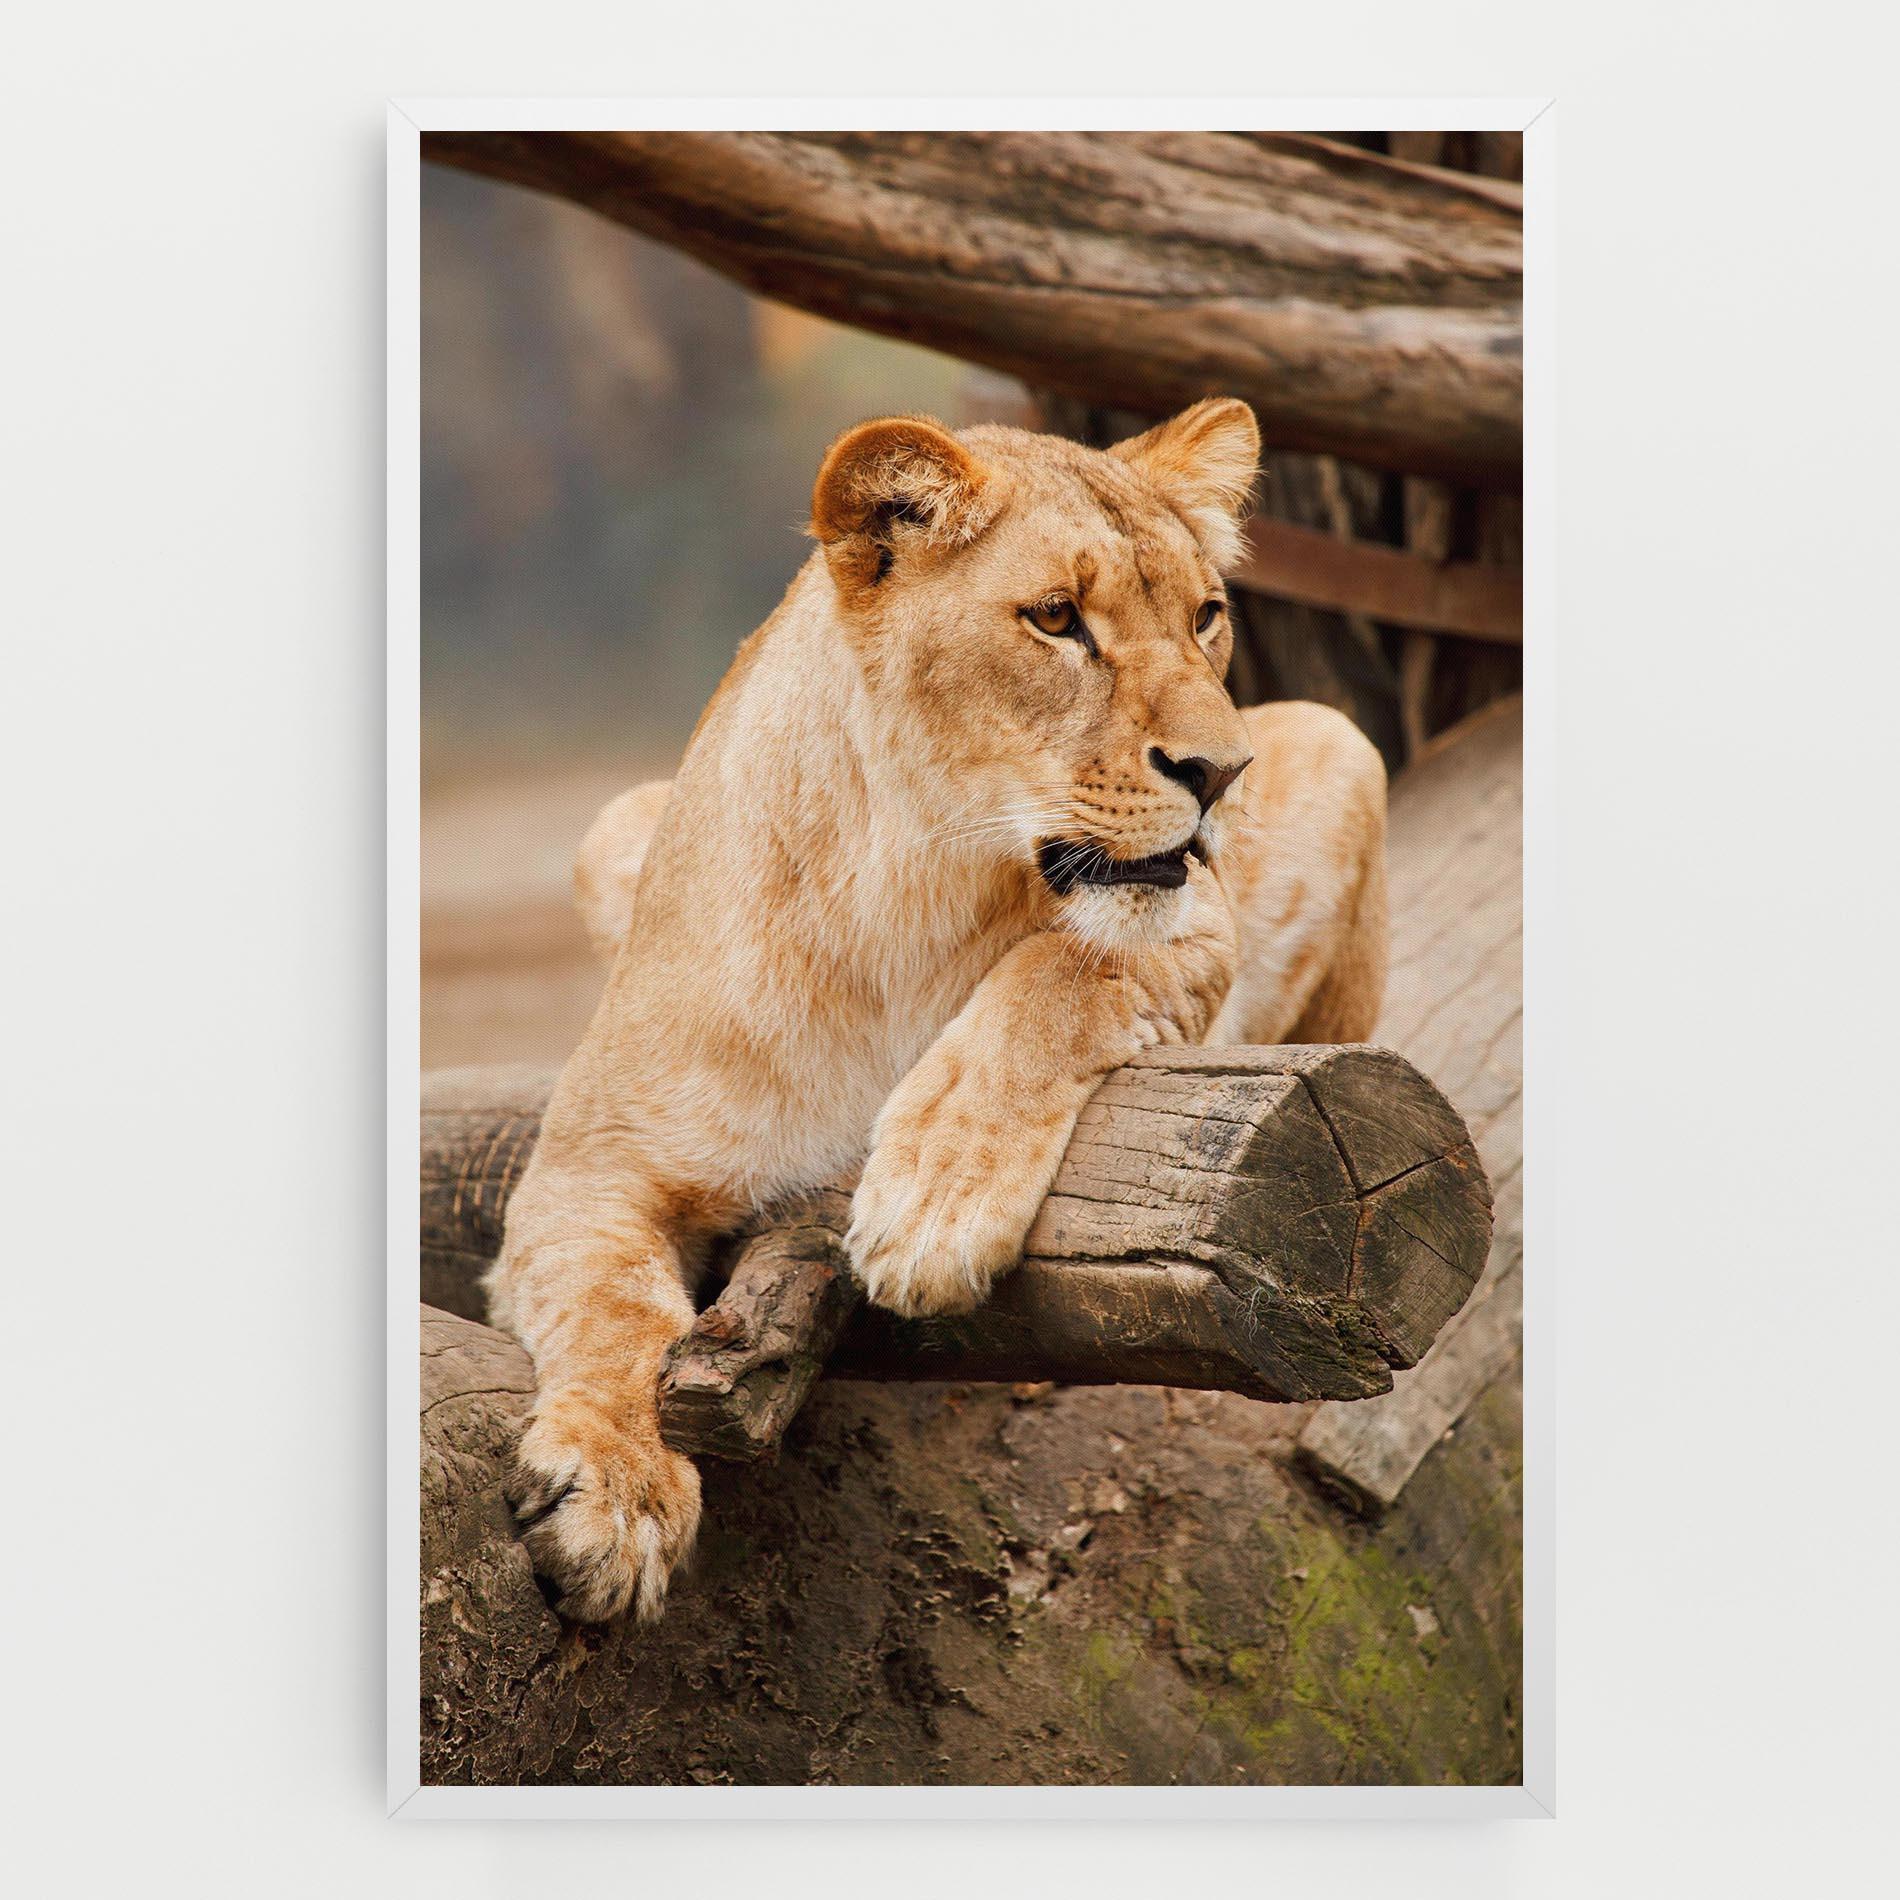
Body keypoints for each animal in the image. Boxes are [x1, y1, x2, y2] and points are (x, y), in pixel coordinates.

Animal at [487, 399, 1388, 1622]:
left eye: (1206, 617)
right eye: (1056, 618)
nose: (1223, 772)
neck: (904, 897)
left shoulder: (1196, 924)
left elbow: (1060, 972)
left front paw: (931, 1206)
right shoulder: (589, 1164)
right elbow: (611, 1306)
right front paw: (616, 1495)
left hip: (1343, 744)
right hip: (613, 824)